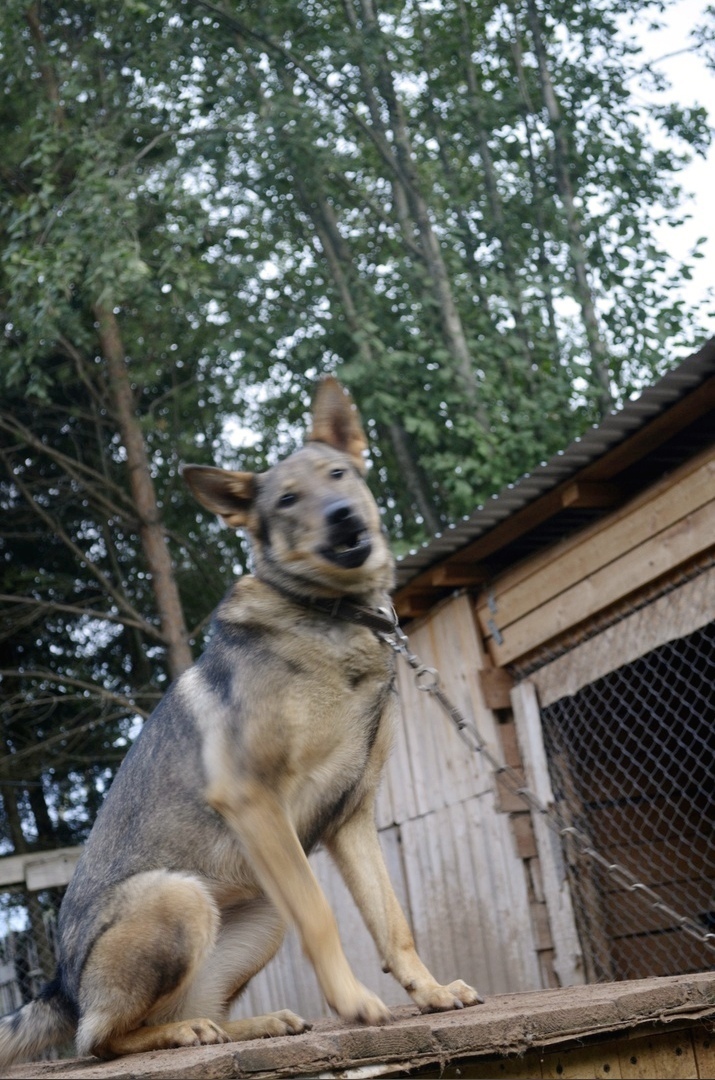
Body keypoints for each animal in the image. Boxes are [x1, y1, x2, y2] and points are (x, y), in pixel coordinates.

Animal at [1, 378, 481, 1062]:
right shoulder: (255, 801)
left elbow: (392, 921)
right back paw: (178, 1033)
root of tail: (61, 985)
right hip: (181, 895)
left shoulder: (353, 816)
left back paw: (249, 1025)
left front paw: (431, 992)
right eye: (287, 500)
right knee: (100, 1039)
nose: (343, 516)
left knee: (194, 1013)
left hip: (258, 912)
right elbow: (322, 915)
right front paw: (354, 1002)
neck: (332, 615)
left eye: (338, 474)